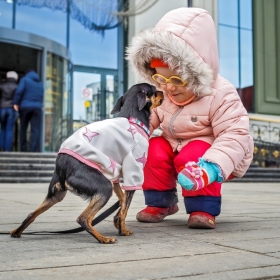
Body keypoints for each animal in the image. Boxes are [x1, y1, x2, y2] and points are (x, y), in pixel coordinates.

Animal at [9, 83, 164, 243]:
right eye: (154, 90)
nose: (162, 91)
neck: (133, 118)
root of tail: (61, 166)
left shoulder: (115, 174)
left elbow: (121, 200)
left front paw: (118, 222)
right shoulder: (133, 170)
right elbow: (125, 209)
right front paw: (122, 230)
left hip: (56, 194)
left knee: (32, 214)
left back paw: (16, 232)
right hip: (103, 188)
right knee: (83, 218)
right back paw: (103, 238)